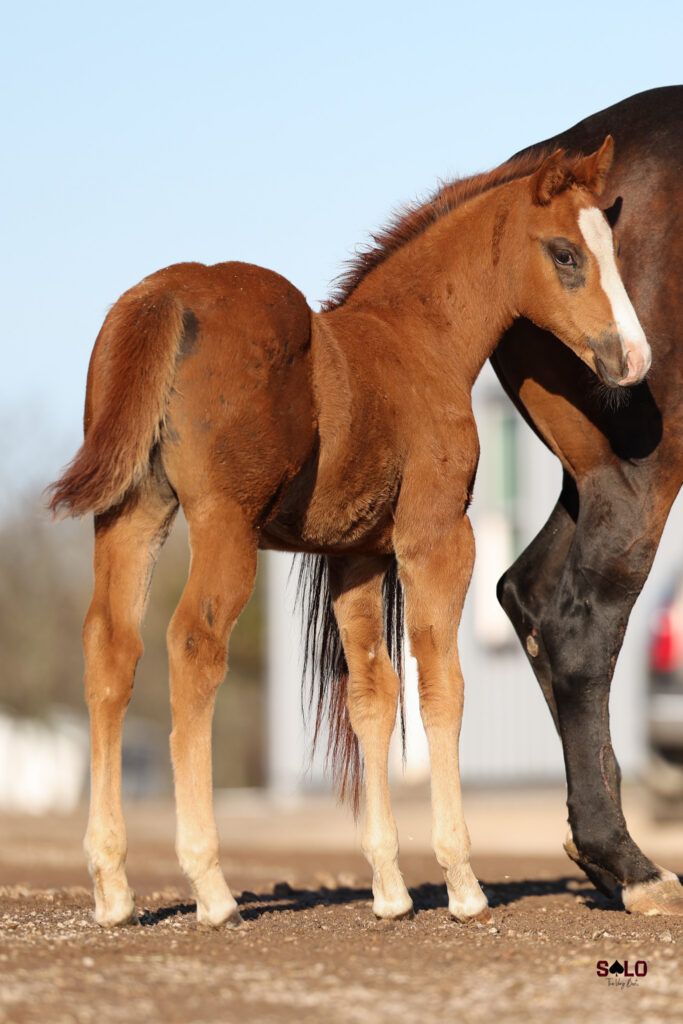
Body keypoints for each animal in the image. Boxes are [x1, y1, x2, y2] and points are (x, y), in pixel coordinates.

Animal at [48, 138, 649, 929]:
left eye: (610, 246)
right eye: (566, 254)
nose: (633, 359)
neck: (419, 342)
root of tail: (166, 295)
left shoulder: (355, 555)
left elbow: (371, 692)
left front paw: (390, 888)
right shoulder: (436, 538)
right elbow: (440, 685)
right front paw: (462, 882)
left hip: (132, 513)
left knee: (110, 648)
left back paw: (113, 888)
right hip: (223, 521)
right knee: (192, 645)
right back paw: (211, 888)